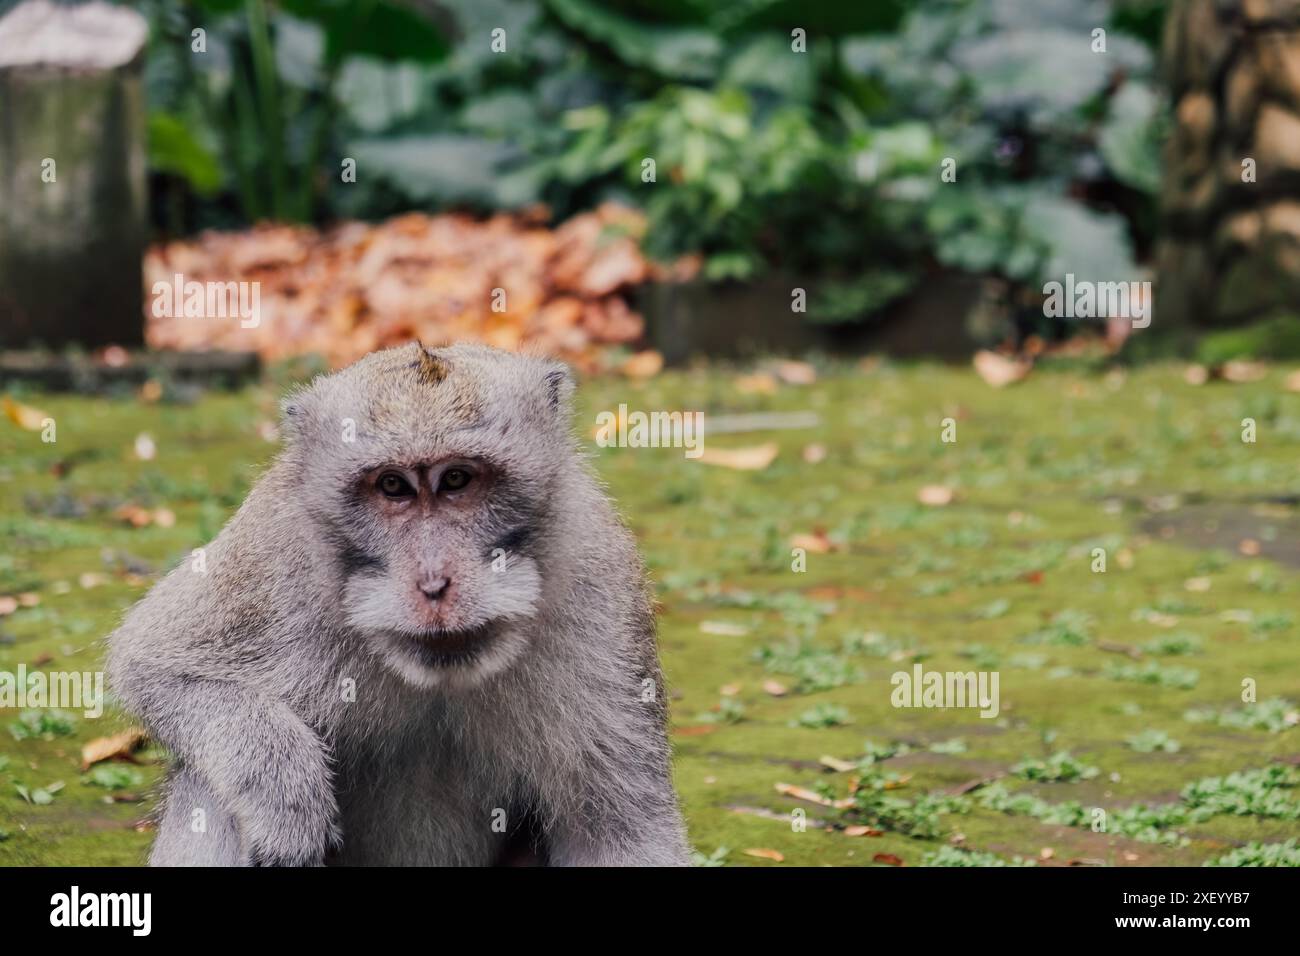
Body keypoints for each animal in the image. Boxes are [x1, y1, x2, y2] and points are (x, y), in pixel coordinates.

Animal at [104, 343, 691, 868]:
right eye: (392, 486)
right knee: (207, 781)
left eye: (456, 479)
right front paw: (284, 788)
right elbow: (153, 663)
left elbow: (618, 834)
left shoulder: (598, 576)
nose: (433, 583)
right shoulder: (273, 556)